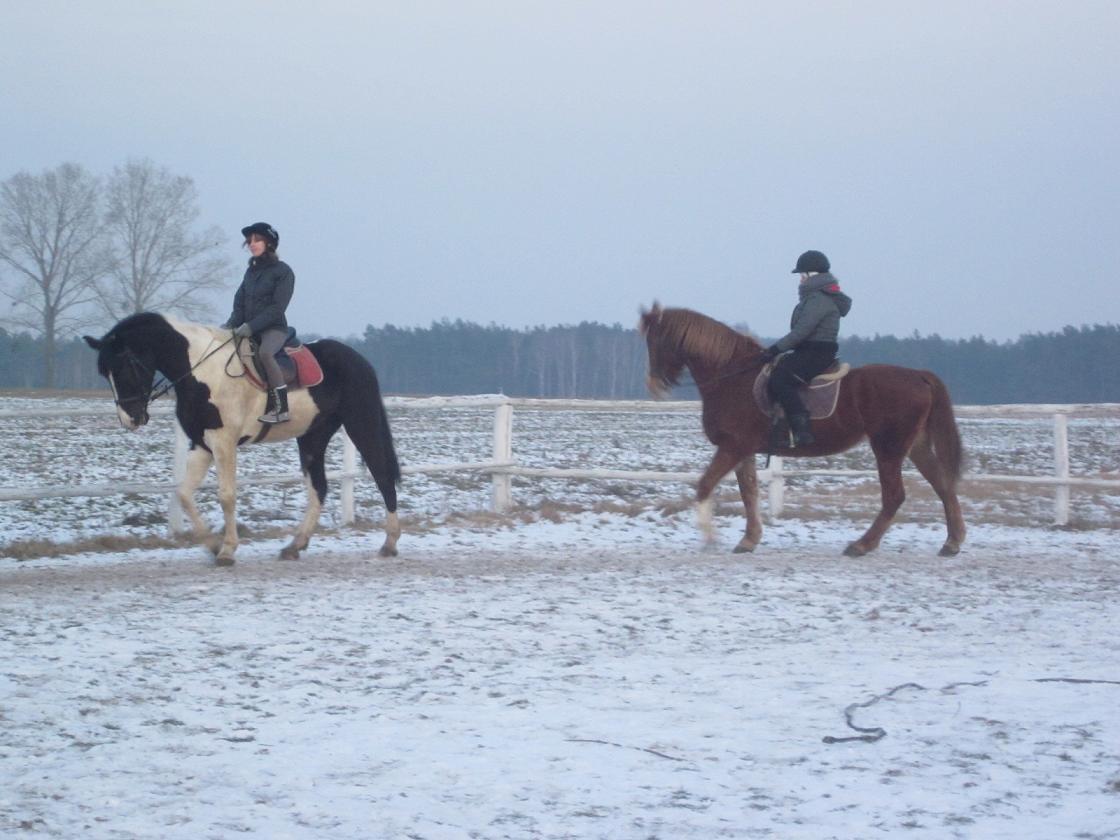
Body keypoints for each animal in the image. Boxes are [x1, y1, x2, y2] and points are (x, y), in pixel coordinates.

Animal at [87, 313, 403, 566]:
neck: (200, 372)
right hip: (313, 436)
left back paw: (389, 543)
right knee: (319, 487)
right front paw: (212, 545)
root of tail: (359, 360)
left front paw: (227, 550)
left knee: (382, 475)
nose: (130, 419)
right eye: (104, 372)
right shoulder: (201, 444)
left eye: (124, 365)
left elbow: (226, 496)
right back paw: (295, 545)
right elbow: (184, 494)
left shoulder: (223, 442)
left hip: (361, 425)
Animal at [645, 304, 967, 560]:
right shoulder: (743, 450)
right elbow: (749, 493)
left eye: (656, 341)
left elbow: (705, 485)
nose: (655, 386)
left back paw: (862, 545)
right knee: (943, 485)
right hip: (915, 446)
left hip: (888, 448)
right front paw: (749, 540)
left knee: (895, 496)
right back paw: (951, 543)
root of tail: (919, 375)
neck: (733, 379)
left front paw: (711, 539)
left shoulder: (733, 447)